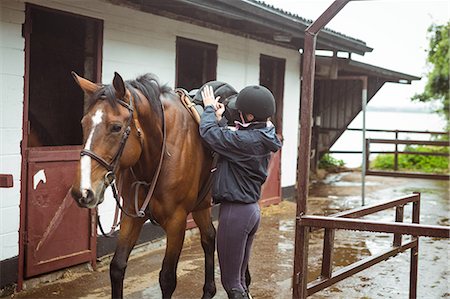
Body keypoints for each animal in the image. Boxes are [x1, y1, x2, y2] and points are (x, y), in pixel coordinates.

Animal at [70, 71, 216, 298]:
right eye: (83, 123)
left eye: (116, 127)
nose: (82, 192)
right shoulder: (132, 215)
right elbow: (117, 267)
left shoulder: (177, 221)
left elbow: (167, 278)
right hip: (202, 205)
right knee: (209, 237)